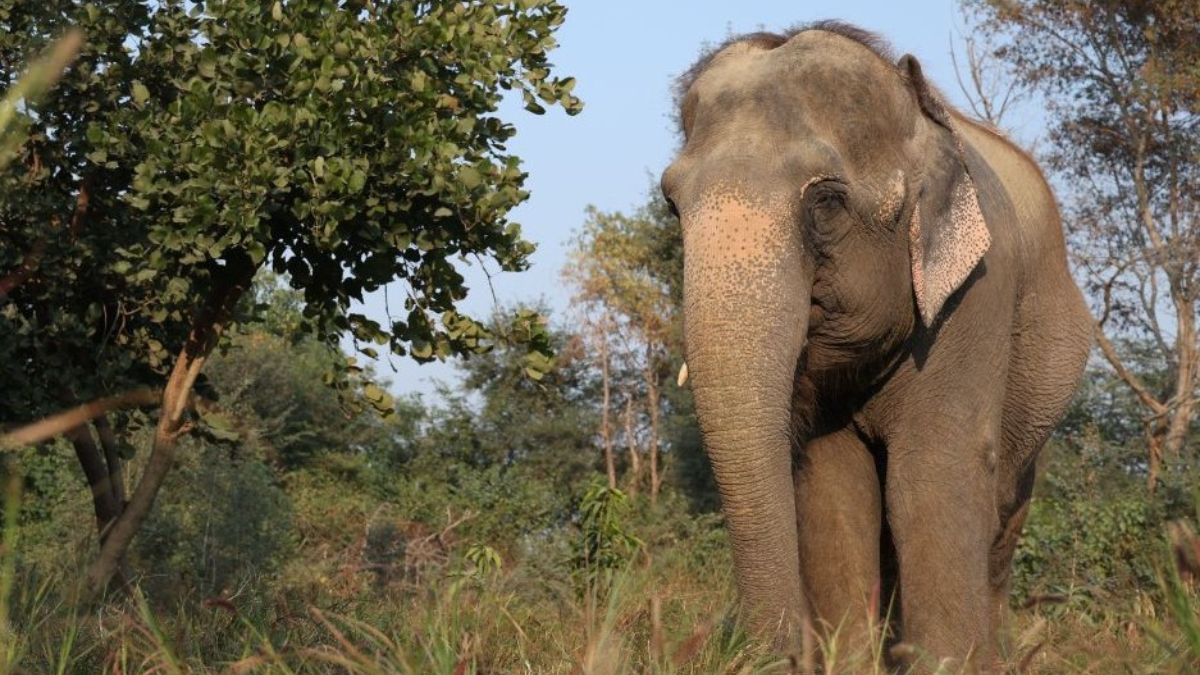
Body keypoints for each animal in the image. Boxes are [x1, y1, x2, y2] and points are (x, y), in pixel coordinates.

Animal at [661, 21, 1092, 671]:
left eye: (826, 202)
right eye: (671, 203)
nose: (776, 654)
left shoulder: (977, 293)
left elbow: (933, 474)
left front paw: (948, 664)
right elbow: (836, 491)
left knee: (1002, 517)